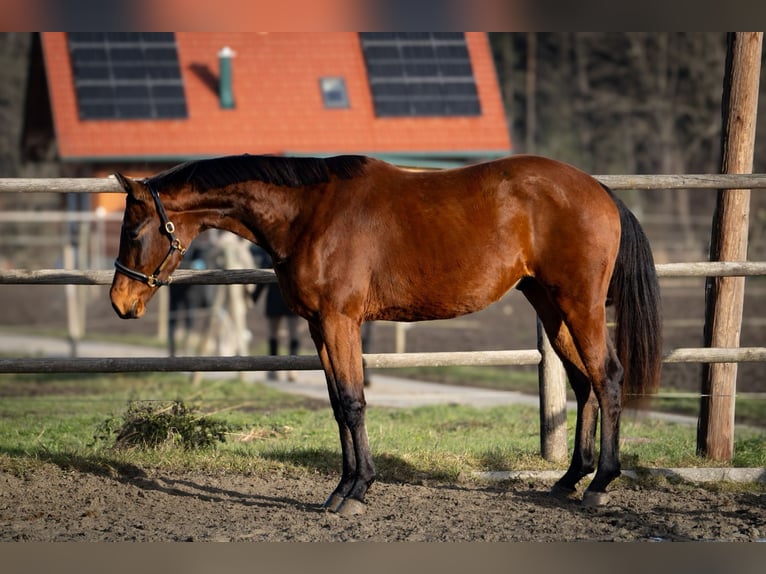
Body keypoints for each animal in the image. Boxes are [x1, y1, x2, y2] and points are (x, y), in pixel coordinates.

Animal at [111, 153, 664, 516]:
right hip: (549, 304)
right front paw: (343, 488)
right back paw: (570, 479)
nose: (121, 302)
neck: (309, 212)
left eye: (134, 231)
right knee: (583, 382)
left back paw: (600, 483)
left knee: (607, 377)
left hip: (580, 305)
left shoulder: (340, 321)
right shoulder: (318, 325)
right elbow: (338, 405)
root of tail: (599, 190)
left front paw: (356, 492)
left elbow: (354, 402)